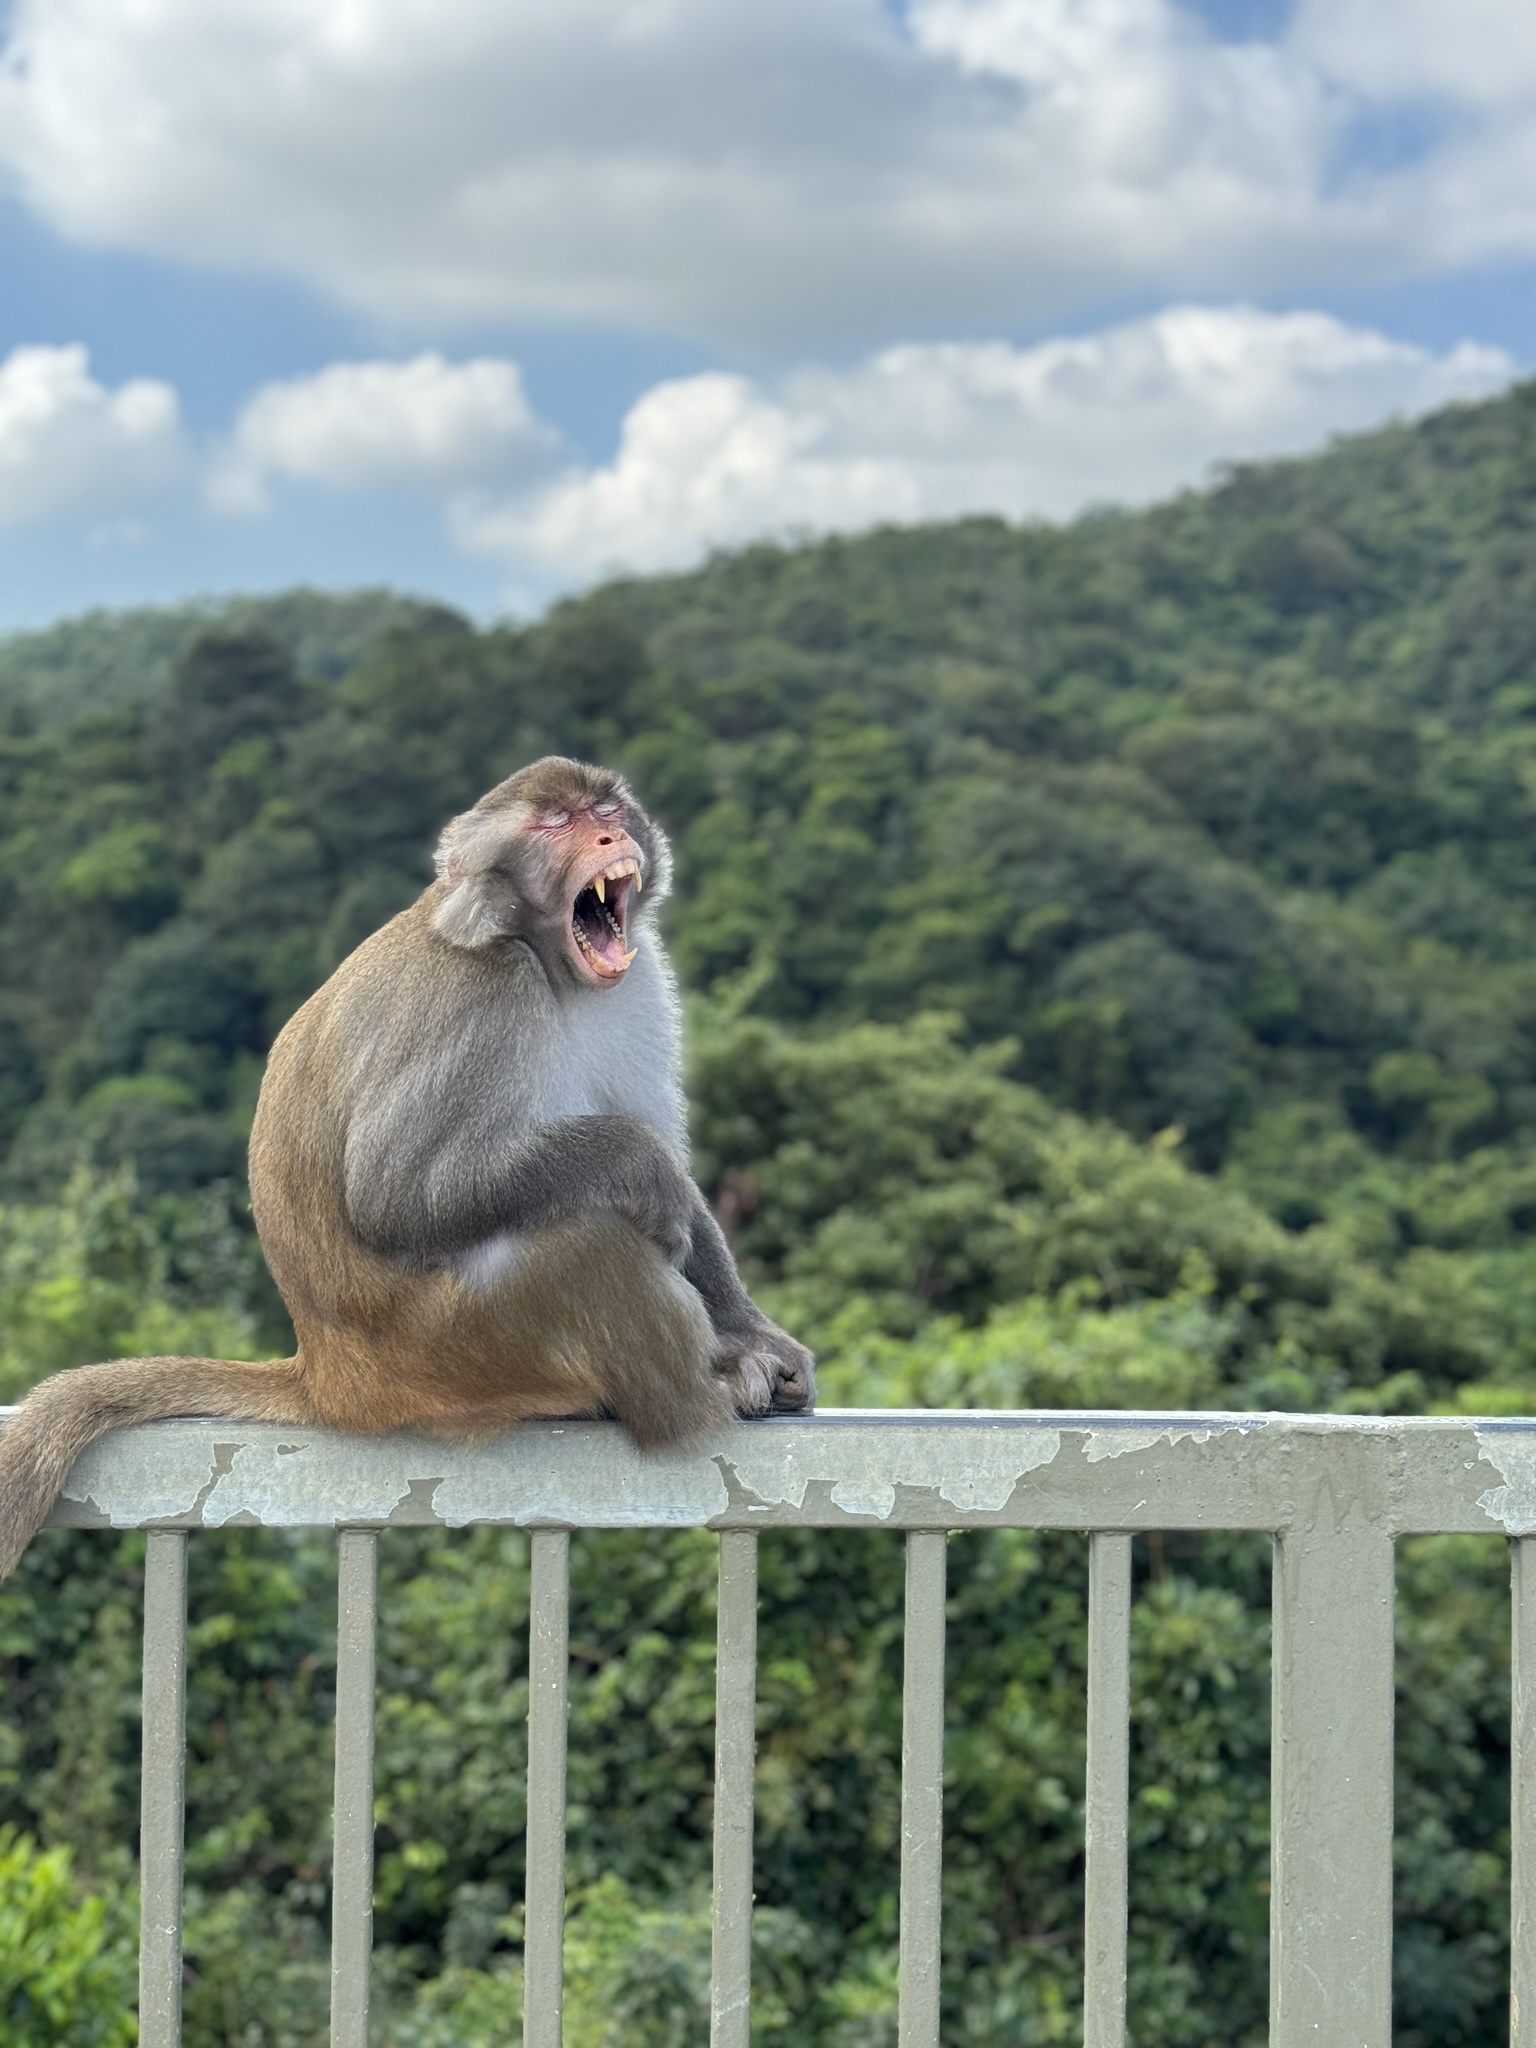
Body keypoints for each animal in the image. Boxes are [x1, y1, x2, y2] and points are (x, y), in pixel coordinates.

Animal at [0, 756, 815, 1577]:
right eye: (558, 822)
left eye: (607, 810)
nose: (612, 837)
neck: (548, 965)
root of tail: (328, 1373)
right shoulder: (482, 998)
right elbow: (395, 1195)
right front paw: (641, 1168)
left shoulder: (639, 987)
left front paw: (758, 1334)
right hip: (450, 1348)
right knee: (584, 1249)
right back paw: (696, 1403)